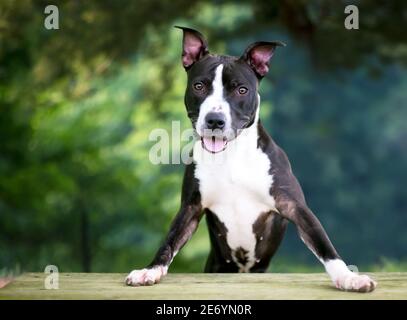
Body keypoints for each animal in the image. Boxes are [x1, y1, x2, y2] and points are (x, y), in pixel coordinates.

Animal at [126, 27, 378, 292]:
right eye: (199, 86)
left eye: (242, 90)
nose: (215, 120)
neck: (231, 156)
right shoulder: (191, 208)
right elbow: (170, 241)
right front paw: (150, 270)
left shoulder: (294, 206)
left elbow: (323, 245)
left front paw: (349, 277)